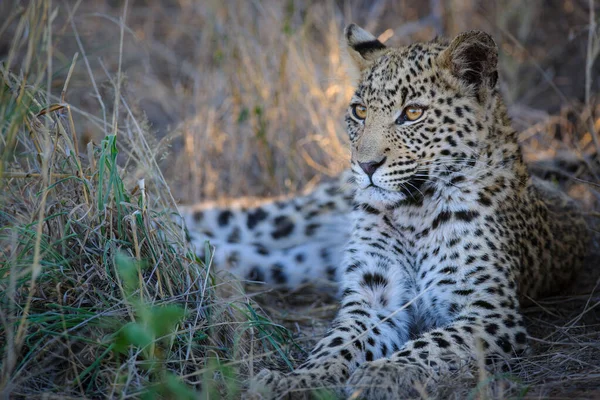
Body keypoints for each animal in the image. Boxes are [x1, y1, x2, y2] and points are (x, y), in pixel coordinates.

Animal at [179, 24, 592, 396]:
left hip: (293, 263)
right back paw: (163, 226)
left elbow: (431, 346)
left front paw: (381, 374)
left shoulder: (489, 313)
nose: (365, 166)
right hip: (290, 219)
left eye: (412, 113)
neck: (414, 211)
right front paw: (298, 379)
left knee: (234, 252)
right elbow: (338, 343)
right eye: (360, 111)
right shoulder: (372, 296)